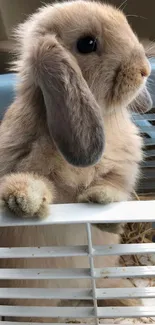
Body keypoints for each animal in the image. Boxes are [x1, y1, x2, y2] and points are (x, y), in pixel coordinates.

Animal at [0, 0, 152, 322]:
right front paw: (24, 200)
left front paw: (99, 200)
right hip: (29, 296)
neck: (105, 117)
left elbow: (114, 185)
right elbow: (29, 183)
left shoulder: (124, 170)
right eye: (87, 44)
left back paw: (126, 299)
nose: (144, 70)